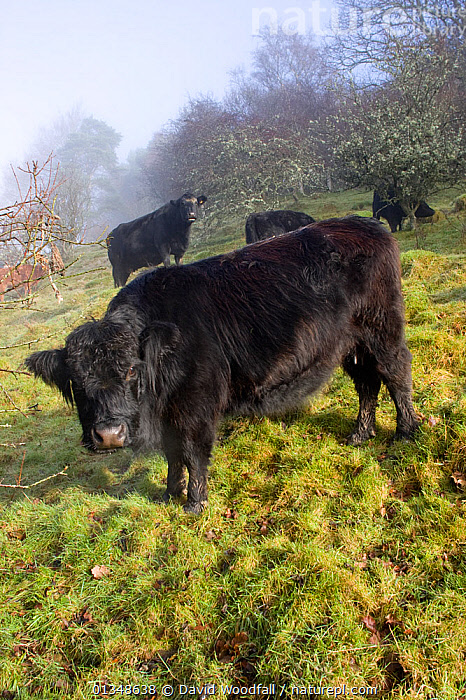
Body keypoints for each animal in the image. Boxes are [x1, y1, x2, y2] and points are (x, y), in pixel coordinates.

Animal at [26, 216, 419, 514]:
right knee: (367, 384)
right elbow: (173, 456)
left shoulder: (196, 405)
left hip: (382, 330)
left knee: (397, 373)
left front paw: (194, 504)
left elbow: (193, 453)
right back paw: (360, 434)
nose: (109, 436)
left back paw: (405, 432)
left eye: (132, 369)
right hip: (350, 346)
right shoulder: (170, 414)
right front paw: (168, 495)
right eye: (77, 381)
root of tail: (365, 224)